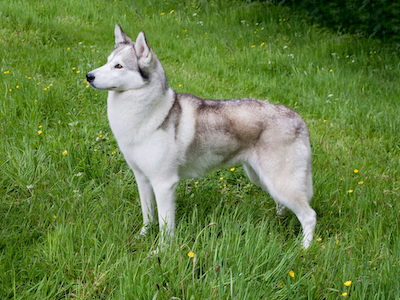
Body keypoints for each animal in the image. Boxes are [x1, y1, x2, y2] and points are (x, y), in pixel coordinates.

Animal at [86, 24, 318, 248]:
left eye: (118, 66)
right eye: (107, 62)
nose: (88, 76)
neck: (149, 114)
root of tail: (299, 119)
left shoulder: (164, 184)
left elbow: (165, 227)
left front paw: (160, 251)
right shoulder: (142, 179)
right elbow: (148, 217)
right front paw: (142, 237)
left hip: (280, 182)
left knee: (309, 216)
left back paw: (304, 249)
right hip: (261, 177)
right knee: (284, 205)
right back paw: (278, 220)